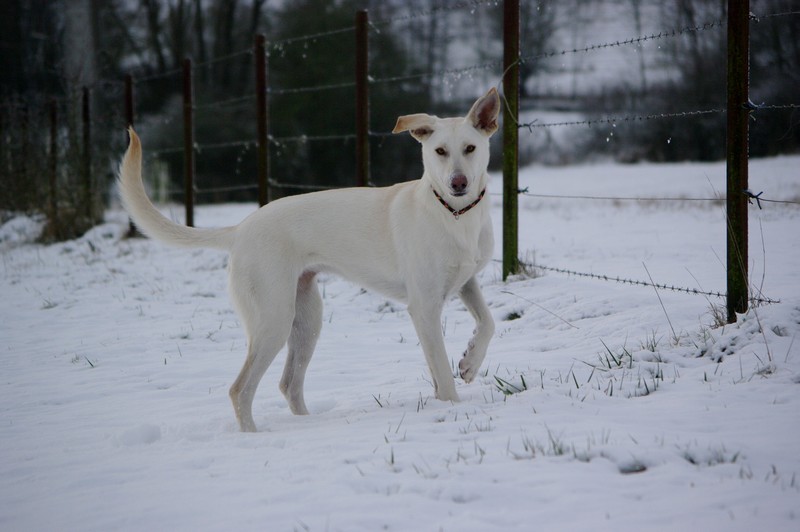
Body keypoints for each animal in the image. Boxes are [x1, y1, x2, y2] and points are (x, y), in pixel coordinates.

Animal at [118, 86, 496, 428]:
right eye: (440, 151)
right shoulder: (424, 306)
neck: (453, 214)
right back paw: (253, 436)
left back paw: (306, 425)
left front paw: (470, 362)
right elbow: (442, 371)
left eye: (470, 148)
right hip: (273, 319)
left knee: (288, 384)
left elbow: (487, 323)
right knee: (240, 390)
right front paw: (452, 406)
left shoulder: (465, 282)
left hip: (306, 320)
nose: (458, 183)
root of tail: (240, 229)